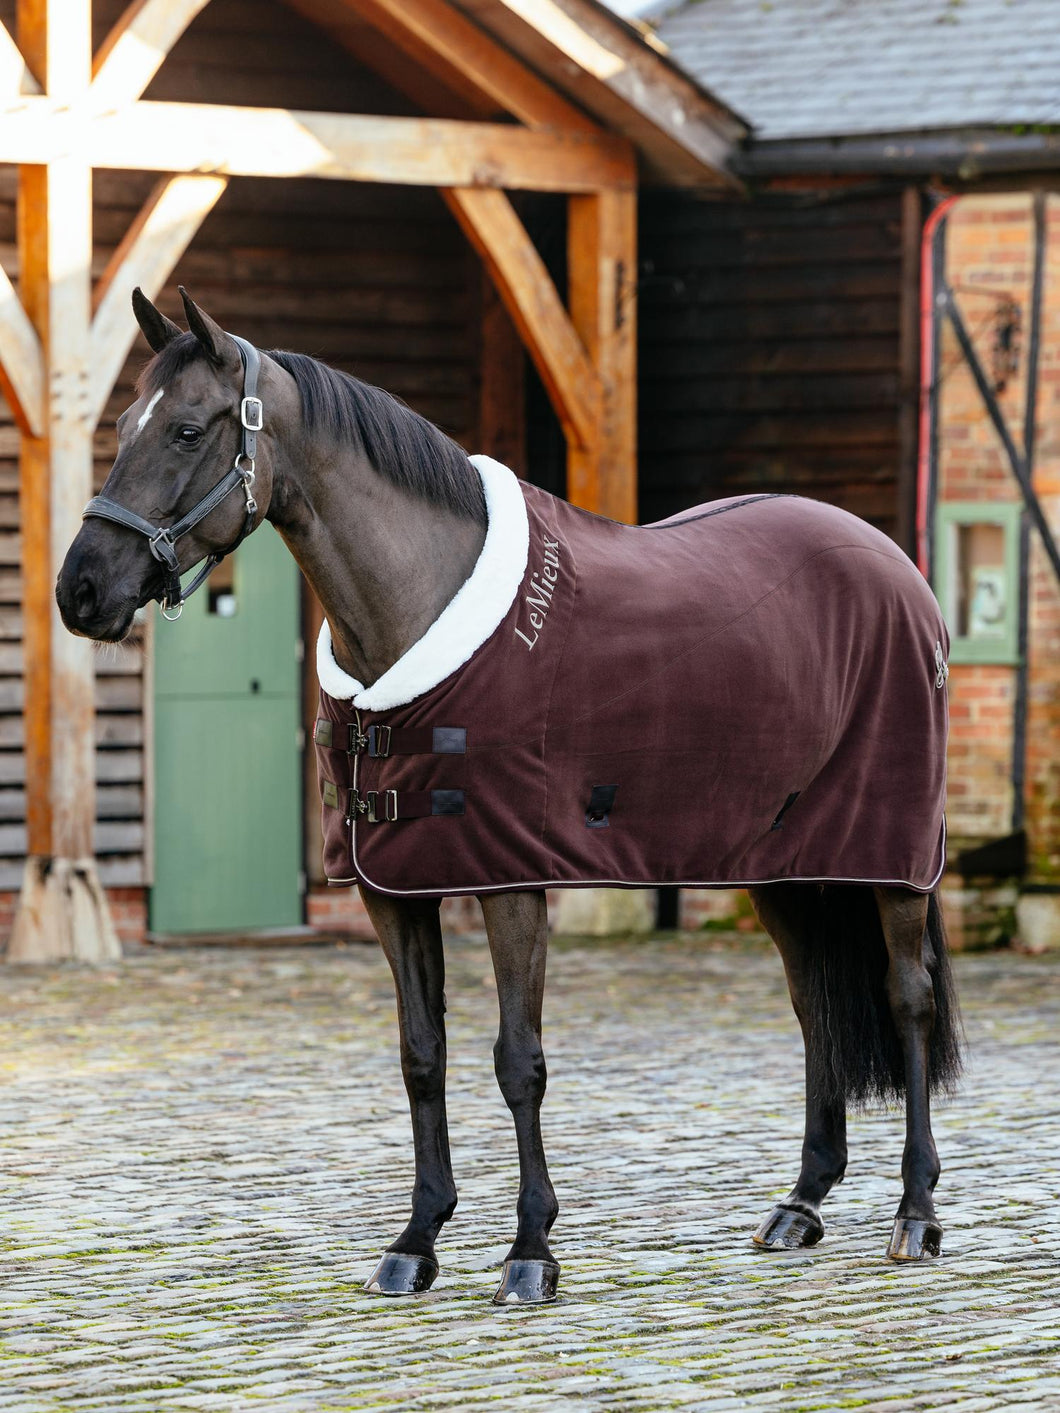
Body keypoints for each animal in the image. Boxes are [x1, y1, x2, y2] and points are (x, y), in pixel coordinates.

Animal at [57, 288, 962, 1306]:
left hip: (892, 856)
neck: (419, 612)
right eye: (121, 426)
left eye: (183, 429)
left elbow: (516, 1060)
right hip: (784, 862)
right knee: (815, 1006)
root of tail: (899, 570)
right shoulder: (393, 889)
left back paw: (916, 1213)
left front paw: (531, 1250)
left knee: (907, 997)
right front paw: (416, 1239)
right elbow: (422, 1055)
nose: (79, 589)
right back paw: (801, 1202)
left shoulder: (511, 879)